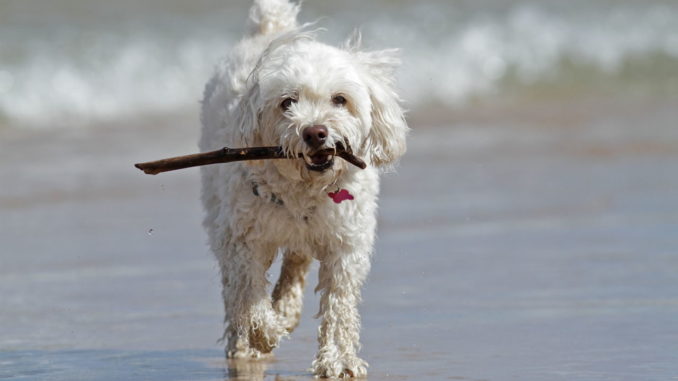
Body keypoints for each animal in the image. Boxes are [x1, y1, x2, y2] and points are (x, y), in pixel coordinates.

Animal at [198, 0, 410, 374]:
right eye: (287, 102)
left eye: (340, 99)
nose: (315, 132)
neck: (305, 189)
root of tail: (269, 29)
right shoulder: (242, 240)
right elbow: (249, 293)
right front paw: (265, 332)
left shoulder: (345, 245)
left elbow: (339, 305)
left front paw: (338, 359)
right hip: (219, 213)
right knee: (234, 289)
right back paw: (246, 342)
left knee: (297, 262)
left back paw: (285, 308)